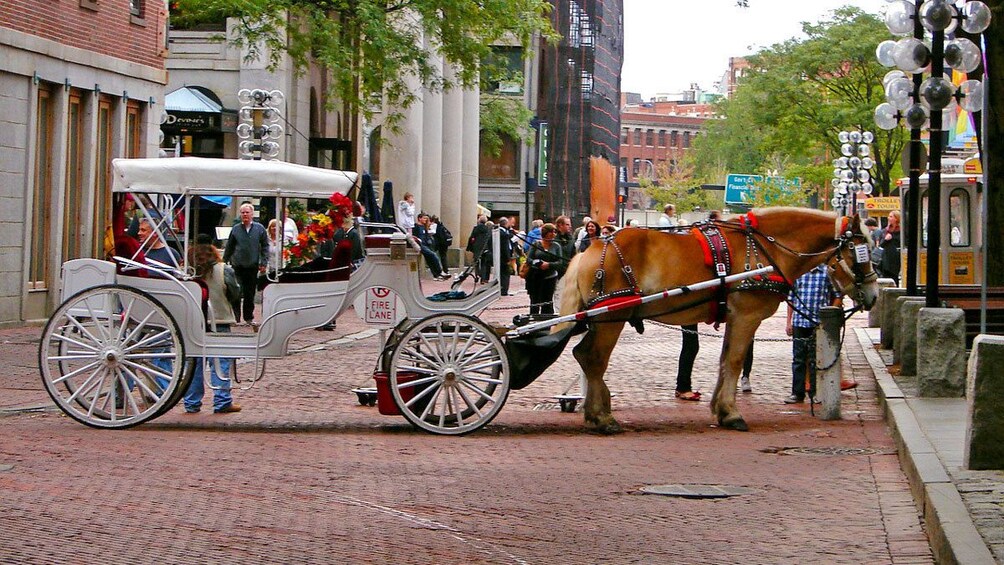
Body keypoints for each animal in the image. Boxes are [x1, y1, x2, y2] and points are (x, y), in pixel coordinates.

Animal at [558, 207, 879, 433]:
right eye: (860, 251)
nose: (873, 294)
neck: (766, 248)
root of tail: (592, 249)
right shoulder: (746, 317)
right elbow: (735, 361)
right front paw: (731, 412)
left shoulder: (735, 318)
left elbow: (725, 361)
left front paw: (721, 410)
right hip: (613, 318)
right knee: (593, 358)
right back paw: (602, 417)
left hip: (601, 320)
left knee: (584, 356)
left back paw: (595, 411)